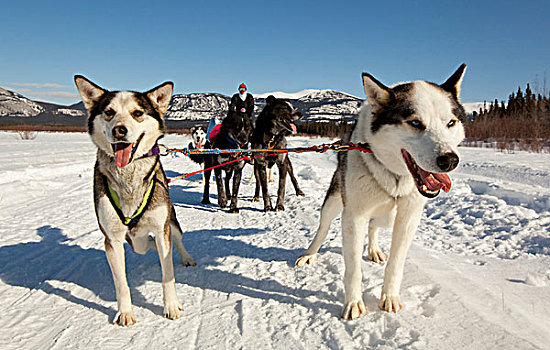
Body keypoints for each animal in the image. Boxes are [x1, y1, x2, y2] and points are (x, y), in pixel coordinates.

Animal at [74, 75, 197, 326]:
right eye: (109, 112)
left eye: (138, 113)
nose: (119, 130)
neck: (128, 180)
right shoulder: (112, 239)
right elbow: (121, 283)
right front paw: (125, 312)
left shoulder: (161, 229)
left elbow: (168, 273)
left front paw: (171, 306)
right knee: (142, 245)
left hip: (171, 221)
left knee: (177, 240)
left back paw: (186, 258)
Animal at [296, 65, 468, 320]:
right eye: (415, 122)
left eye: (451, 122)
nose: (449, 160)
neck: (395, 177)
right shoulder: (353, 216)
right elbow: (353, 267)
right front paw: (353, 302)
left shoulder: (408, 218)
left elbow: (395, 264)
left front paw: (390, 297)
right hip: (335, 201)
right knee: (323, 227)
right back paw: (310, 253)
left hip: (387, 216)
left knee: (374, 225)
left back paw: (374, 250)